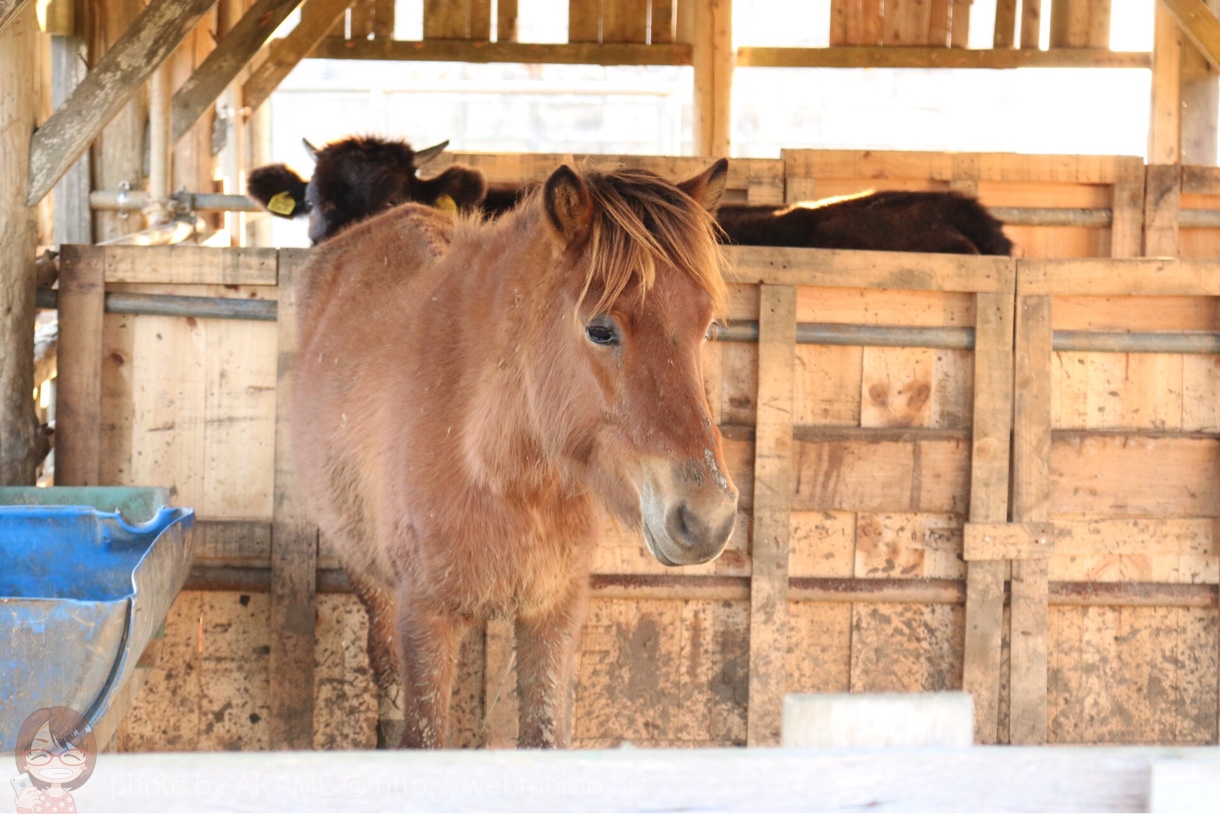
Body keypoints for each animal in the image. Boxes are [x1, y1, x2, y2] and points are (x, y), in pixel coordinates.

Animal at [291, 159, 740, 749]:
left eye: (706, 327)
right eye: (600, 329)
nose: (707, 519)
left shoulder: (554, 614)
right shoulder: (425, 618)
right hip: (370, 580)